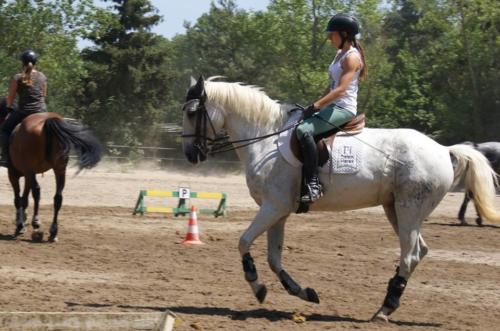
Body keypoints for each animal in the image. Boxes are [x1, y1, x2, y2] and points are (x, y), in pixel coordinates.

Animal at [0, 97, 101, 243]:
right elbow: (26, 198)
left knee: (36, 192)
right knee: (58, 197)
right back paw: (53, 231)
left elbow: (19, 199)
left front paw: (21, 224)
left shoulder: (15, 174)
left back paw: (35, 223)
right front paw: (23, 221)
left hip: (31, 171)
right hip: (59, 169)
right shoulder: (27, 174)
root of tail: (47, 121)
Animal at [181, 76, 500, 322]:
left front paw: (257, 287)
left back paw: (384, 310)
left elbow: (244, 242)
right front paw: (304, 293)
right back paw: (388, 304)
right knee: (418, 251)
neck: (265, 138)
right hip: (395, 209)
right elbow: (274, 258)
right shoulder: (279, 211)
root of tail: (443, 149)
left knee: (409, 255)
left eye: (193, 112)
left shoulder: (273, 207)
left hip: (409, 209)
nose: (190, 154)